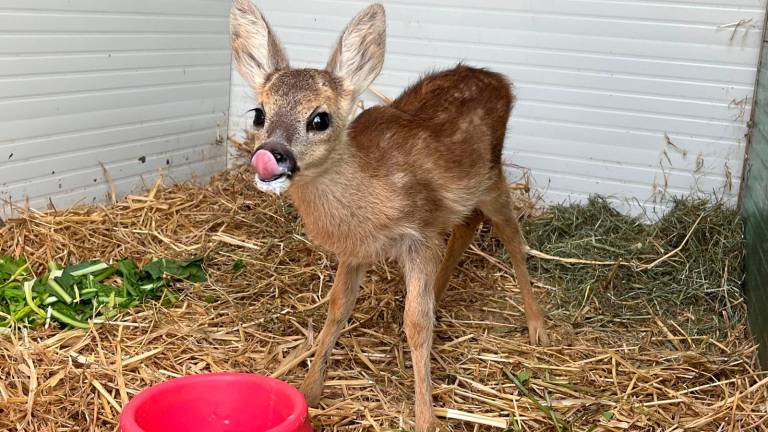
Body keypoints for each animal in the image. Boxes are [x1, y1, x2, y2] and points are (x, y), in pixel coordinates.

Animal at [231, 1, 548, 430]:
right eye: (259, 114)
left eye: (320, 119)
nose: (271, 155)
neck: (370, 197)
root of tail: (498, 79)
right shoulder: (356, 251)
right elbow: (337, 307)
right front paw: (310, 391)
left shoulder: (419, 234)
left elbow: (416, 324)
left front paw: (425, 417)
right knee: (468, 223)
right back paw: (440, 295)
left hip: (492, 176)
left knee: (513, 236)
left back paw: (537, 327)